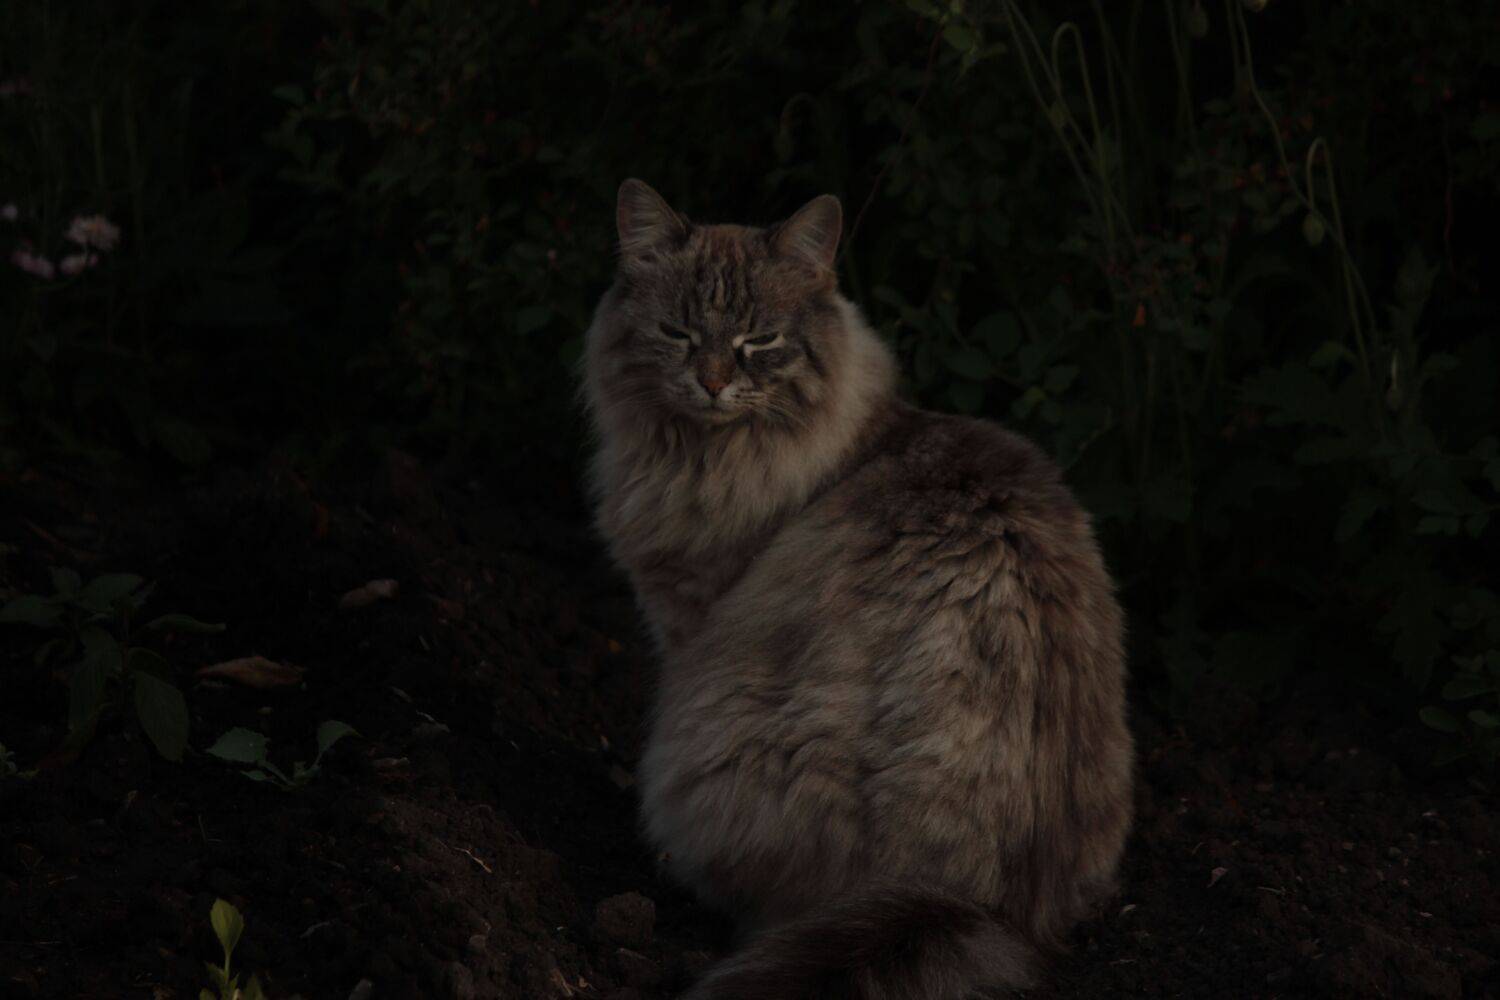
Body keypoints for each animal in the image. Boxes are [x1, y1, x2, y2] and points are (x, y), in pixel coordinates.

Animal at [584, 179, 1133, 999]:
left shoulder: (689, 620)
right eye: (677, 333)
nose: (712, 382)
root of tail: (985, 910)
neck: (709, 458)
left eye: (759, 342)